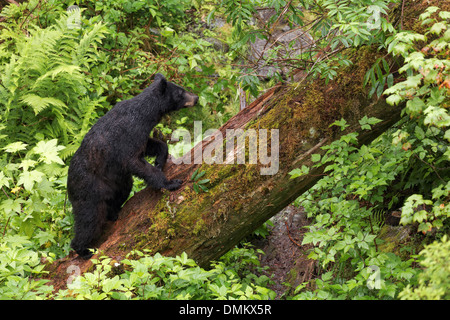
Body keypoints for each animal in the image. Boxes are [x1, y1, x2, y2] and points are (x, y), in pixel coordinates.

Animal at [67, 74, 199, 258]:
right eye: (181, 92)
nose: (196, 98)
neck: (145, 115)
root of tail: (68, 182)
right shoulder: (127, 136)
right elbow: (135, 161)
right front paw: (171, 182)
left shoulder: (140, 135)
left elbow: (153, 145)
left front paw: (160, 161)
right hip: (88, 190)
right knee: (89, 219)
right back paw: (83, 250)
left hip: (115, 183)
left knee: (122, 192)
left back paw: (114, 213)